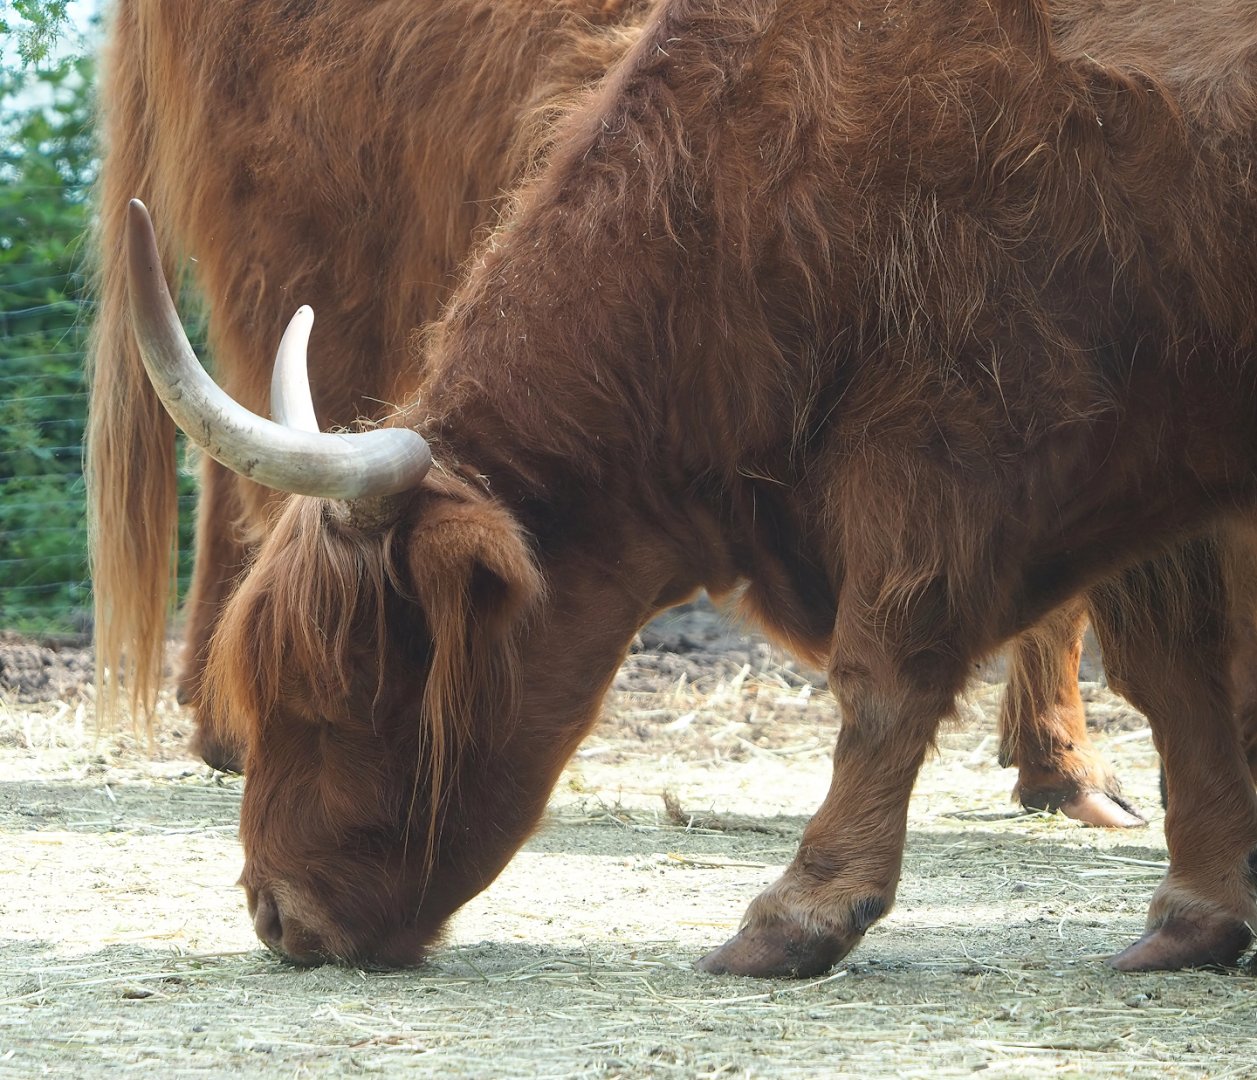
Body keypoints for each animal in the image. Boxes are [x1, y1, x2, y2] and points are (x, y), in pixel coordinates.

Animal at [119, 0, 1257, 979]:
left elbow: (885, 675)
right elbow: (1176, 677)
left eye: (347, 678)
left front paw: (796, 913)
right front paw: (1198, 912)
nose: (276, 913)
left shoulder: (952, 436)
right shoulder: (1151, 475)